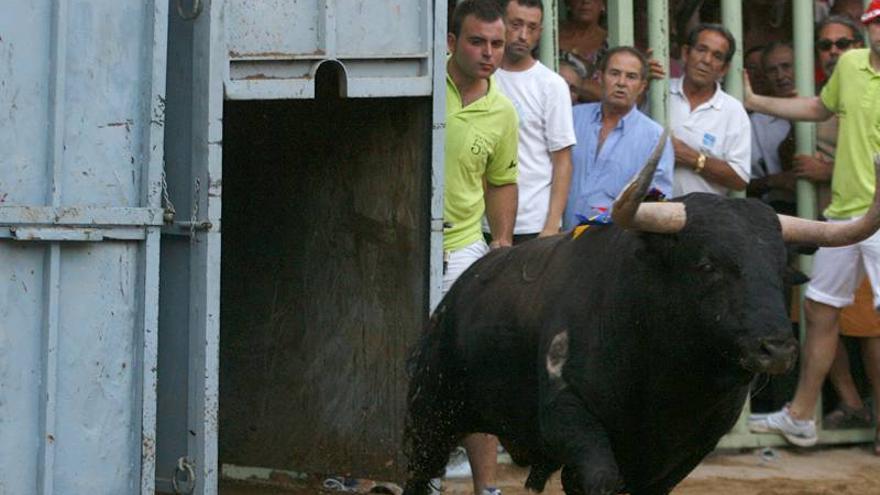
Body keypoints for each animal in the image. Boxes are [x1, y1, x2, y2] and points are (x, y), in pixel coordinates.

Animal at [402, 153, 880, 494]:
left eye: (782, 270)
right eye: (707, 265)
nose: (777, 348)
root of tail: (460, 289)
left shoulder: (688, 448)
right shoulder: (570, 418)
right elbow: (600, 479)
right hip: (432, 415)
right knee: (419, 474)